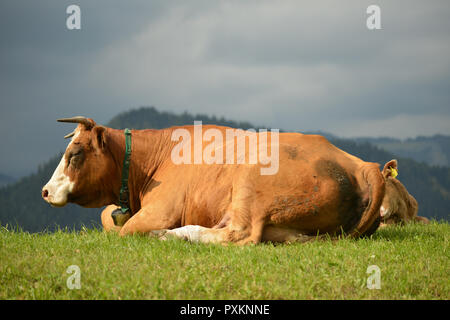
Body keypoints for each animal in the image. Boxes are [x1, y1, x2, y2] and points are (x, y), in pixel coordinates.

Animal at [43, 117, 386, 245]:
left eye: (74, 153)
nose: (45, 191)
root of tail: (361, 165)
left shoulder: (159, 210)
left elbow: (123, 230)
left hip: (250, 183)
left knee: (239, 235)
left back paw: (171, 235)